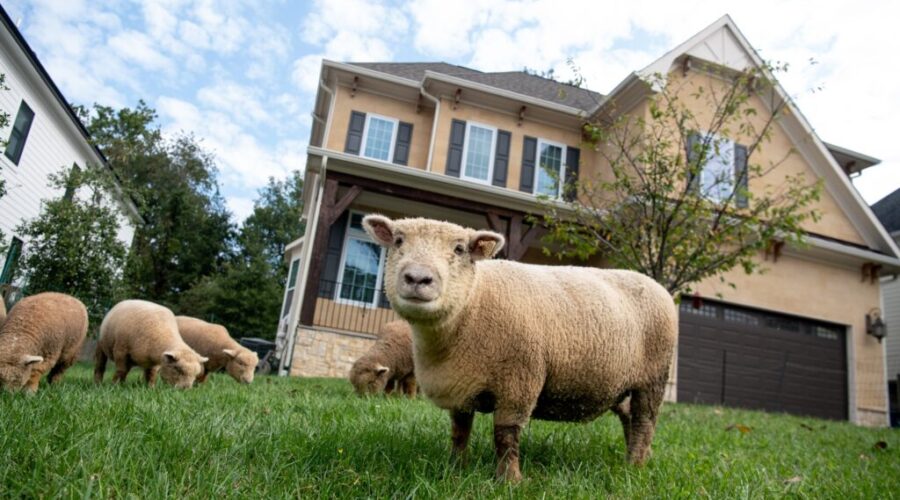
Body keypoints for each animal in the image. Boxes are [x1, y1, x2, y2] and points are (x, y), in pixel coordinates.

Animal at [362, 215, 678, 482]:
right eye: (398, 241)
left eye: (460, 249)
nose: (418, 278)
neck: (472, 305)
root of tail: (654, 284)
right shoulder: (462, 383)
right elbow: (460, 430)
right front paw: (456, 468)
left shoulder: (519, 381)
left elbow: (506, 436)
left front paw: (509, 481)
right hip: (622, 384)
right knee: (629, 418)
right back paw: (642, 457)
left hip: (653, 378)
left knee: (644, 422)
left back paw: (634, 467)